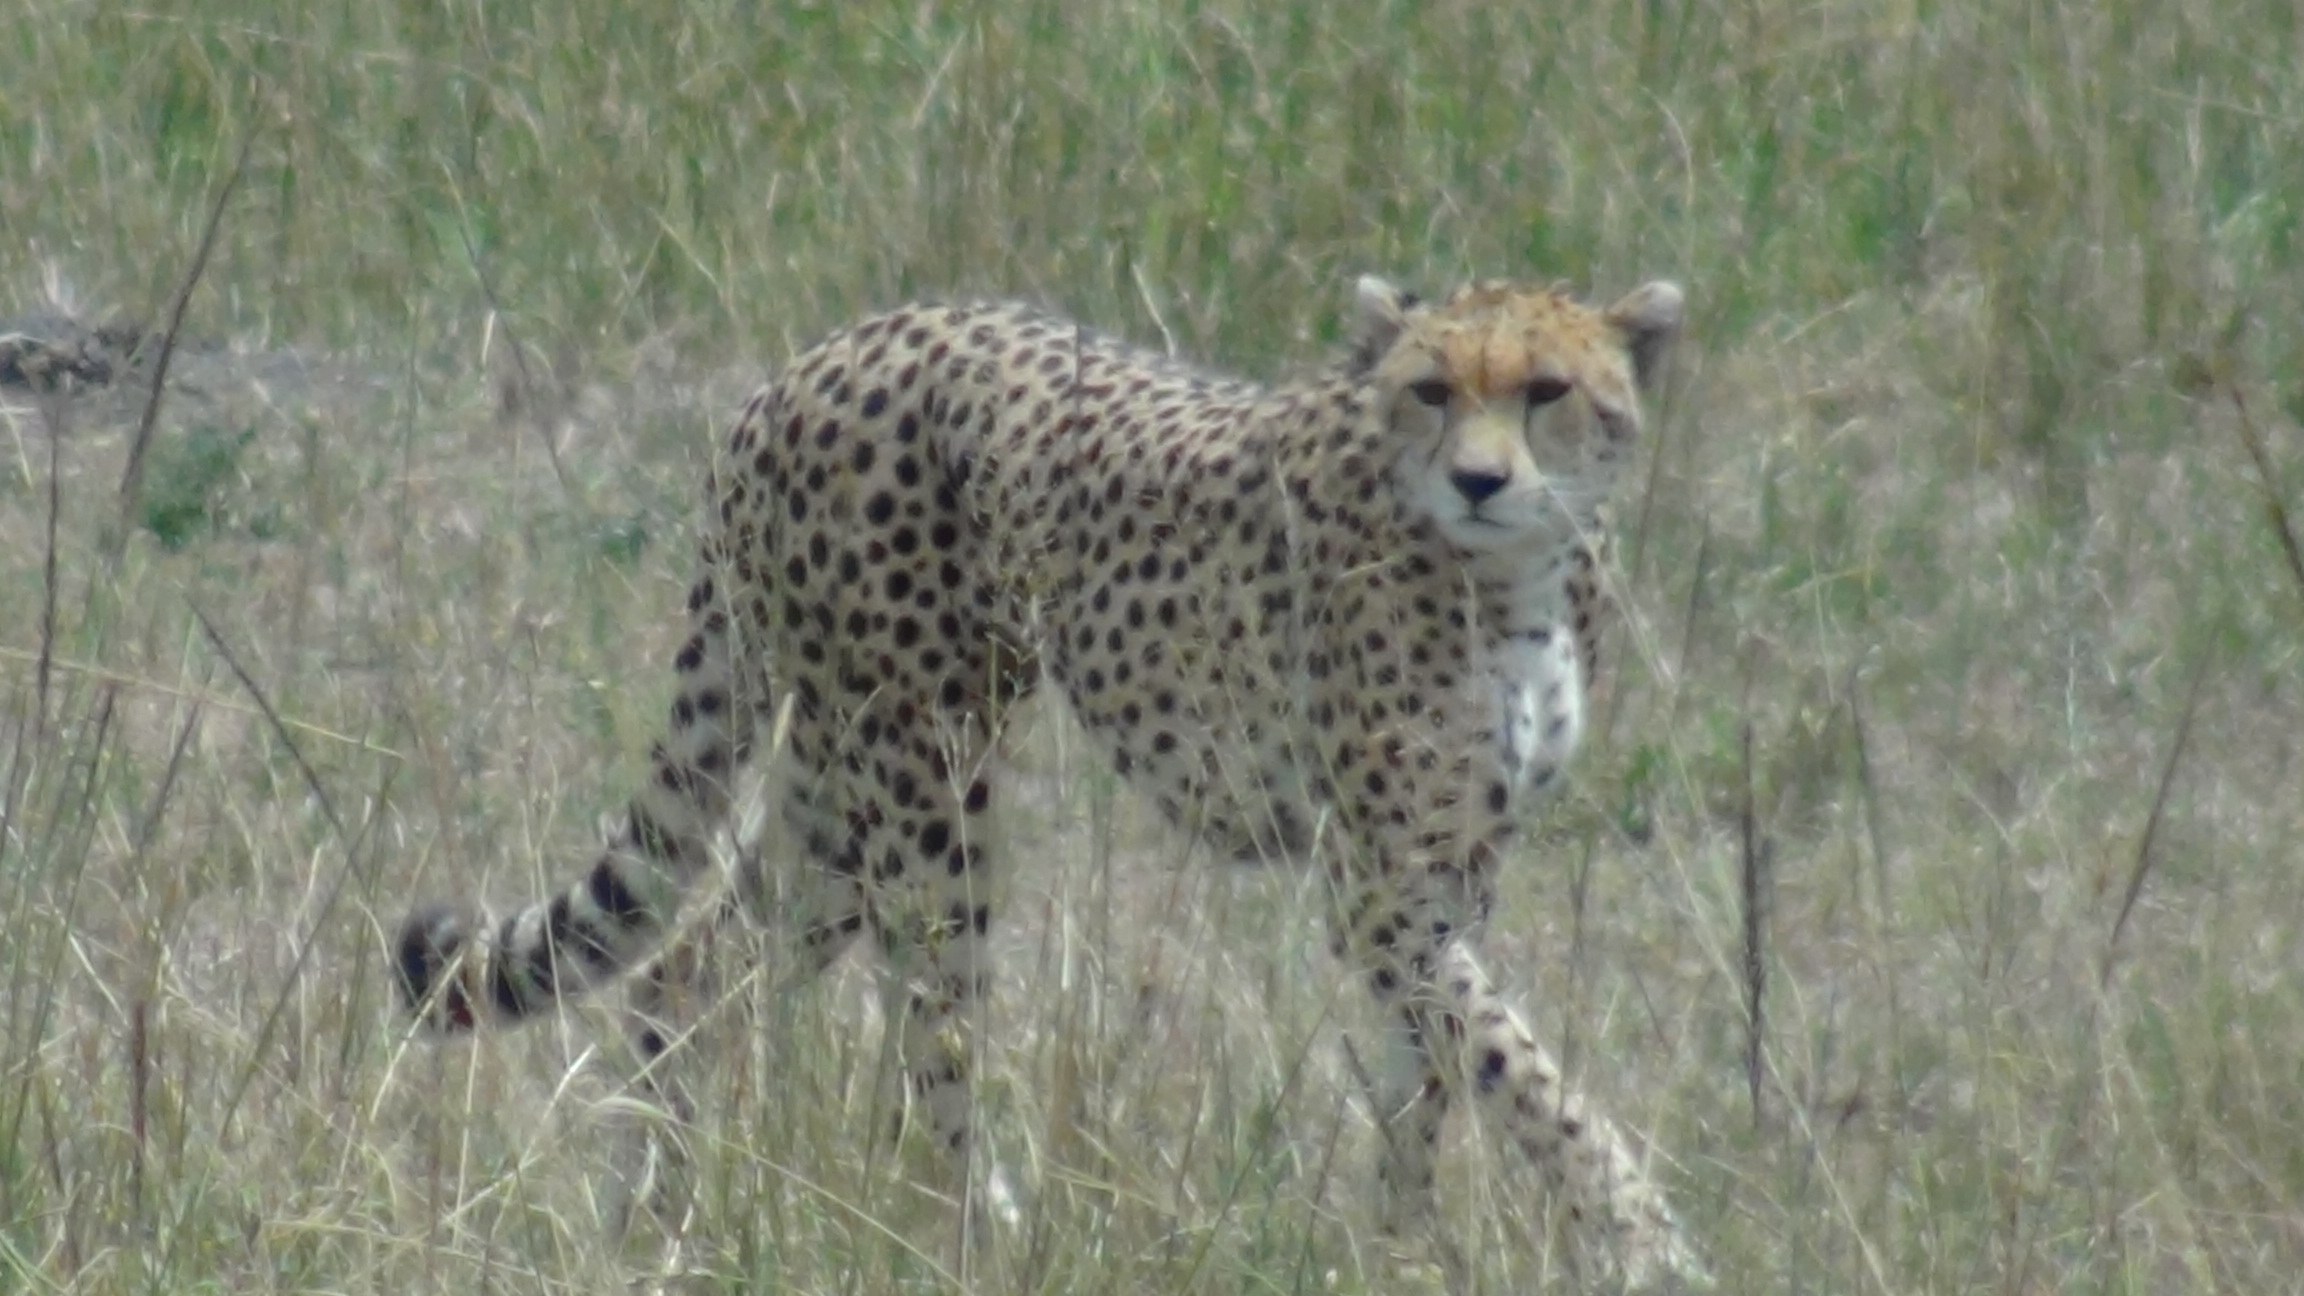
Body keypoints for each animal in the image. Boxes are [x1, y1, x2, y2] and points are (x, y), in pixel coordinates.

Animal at [395, 271, 1704, 1287]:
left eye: (1547, 393)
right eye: (1431, 392)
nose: (1481, 481)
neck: (1514, 573)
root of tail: (815, 356)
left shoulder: (1457, 860)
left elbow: (1436, 1065)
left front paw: (1404, 1244)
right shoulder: (1379, 879)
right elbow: (1513, 1060)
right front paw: (1644, 1237)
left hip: (839, 790)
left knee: (691, 968)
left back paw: (655, 1210)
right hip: (925, 779)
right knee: (934, 1029)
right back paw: (991, 1238)